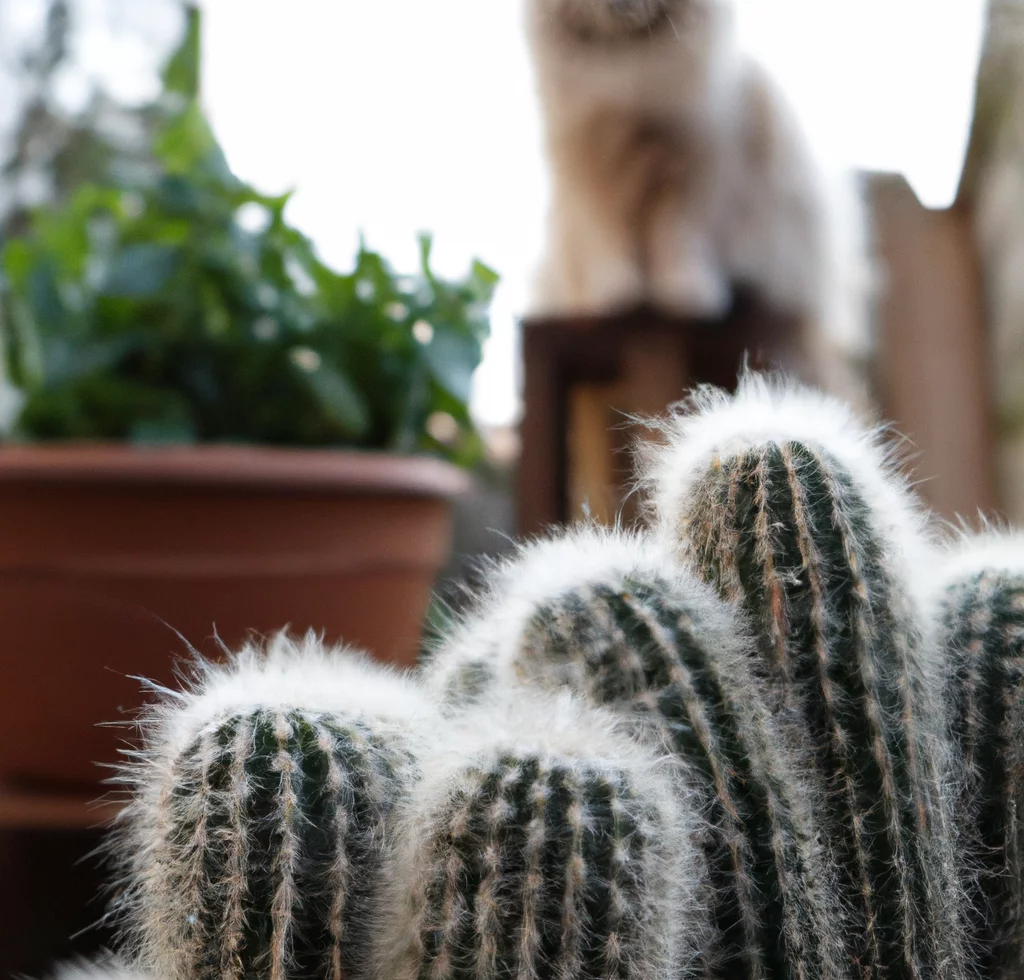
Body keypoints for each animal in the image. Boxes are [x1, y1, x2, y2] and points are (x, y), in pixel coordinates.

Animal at [528, 0, 872, 399]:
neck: (629, 65)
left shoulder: (694, 162)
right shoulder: (589, 169)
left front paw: (687, 296)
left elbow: (677, 239)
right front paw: (617, 298)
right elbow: (609, 245)